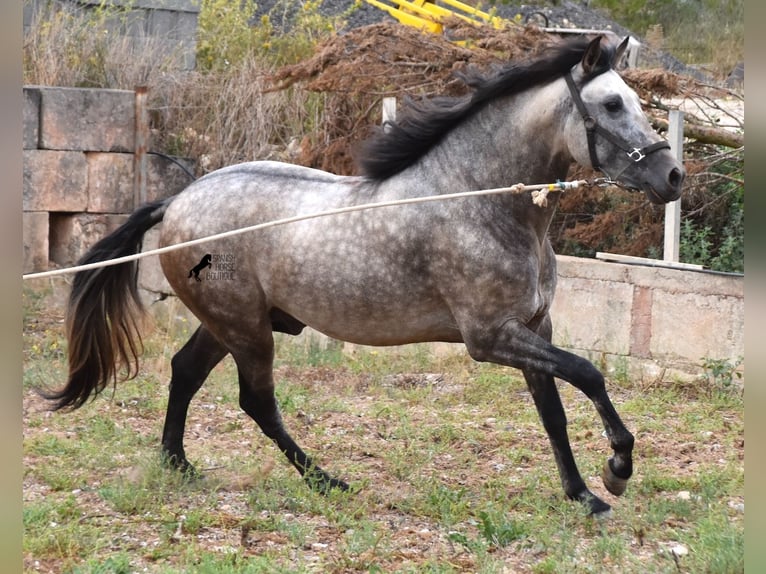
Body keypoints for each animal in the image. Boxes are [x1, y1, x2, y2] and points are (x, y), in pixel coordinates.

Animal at [48, 35, 684, 516]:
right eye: (611, 105)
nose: (672, 176)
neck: (477, 201)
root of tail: (178, 200)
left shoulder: (534, 328)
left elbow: (553, 411)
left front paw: (585, 496)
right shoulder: (490, 337)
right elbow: (590, 374)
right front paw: (618, 469)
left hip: (231, 323)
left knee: (184, 373)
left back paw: (178, 465)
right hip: (246, 329)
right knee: (256, 401)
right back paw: (326, 480)